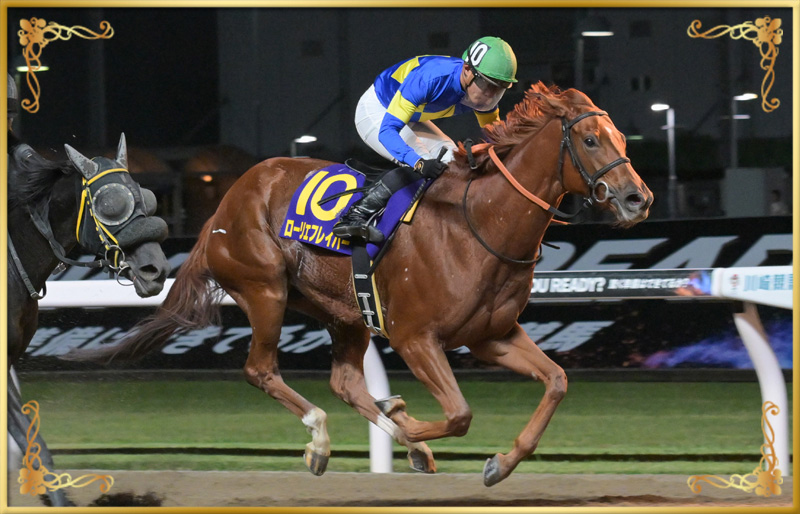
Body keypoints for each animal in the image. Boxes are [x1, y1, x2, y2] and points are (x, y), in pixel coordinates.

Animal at [65, 83, 653, 487]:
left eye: (623, 137)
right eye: (590, 139)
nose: (637, 199)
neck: (480, 222)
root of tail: (225, 206)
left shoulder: (492, 335)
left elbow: (556, 382)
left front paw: (500, 464)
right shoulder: (416, 337)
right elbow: (459, 414)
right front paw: (406, 424)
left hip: (344, 310)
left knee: (345, 381)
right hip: (266, 290)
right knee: (261, 370)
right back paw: (324, 440)